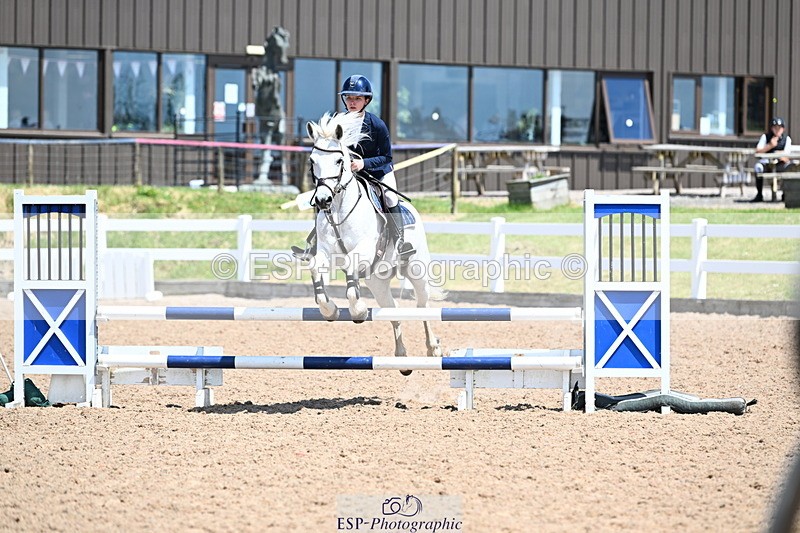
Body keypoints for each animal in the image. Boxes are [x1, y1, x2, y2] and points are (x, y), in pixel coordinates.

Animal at [304, 112, 443, 362]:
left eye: (339, 161)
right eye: (312, 161)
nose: (322, 200)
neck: (339, 209)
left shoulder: (365, 249)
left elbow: (351, 271)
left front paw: (358, 311)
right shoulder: (326, 253)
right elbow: (315, 269)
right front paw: (330, 310)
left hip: (416, 269)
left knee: (422, 304)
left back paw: (432, 348)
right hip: (377, 280)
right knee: (393, 310)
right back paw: (401, 356)